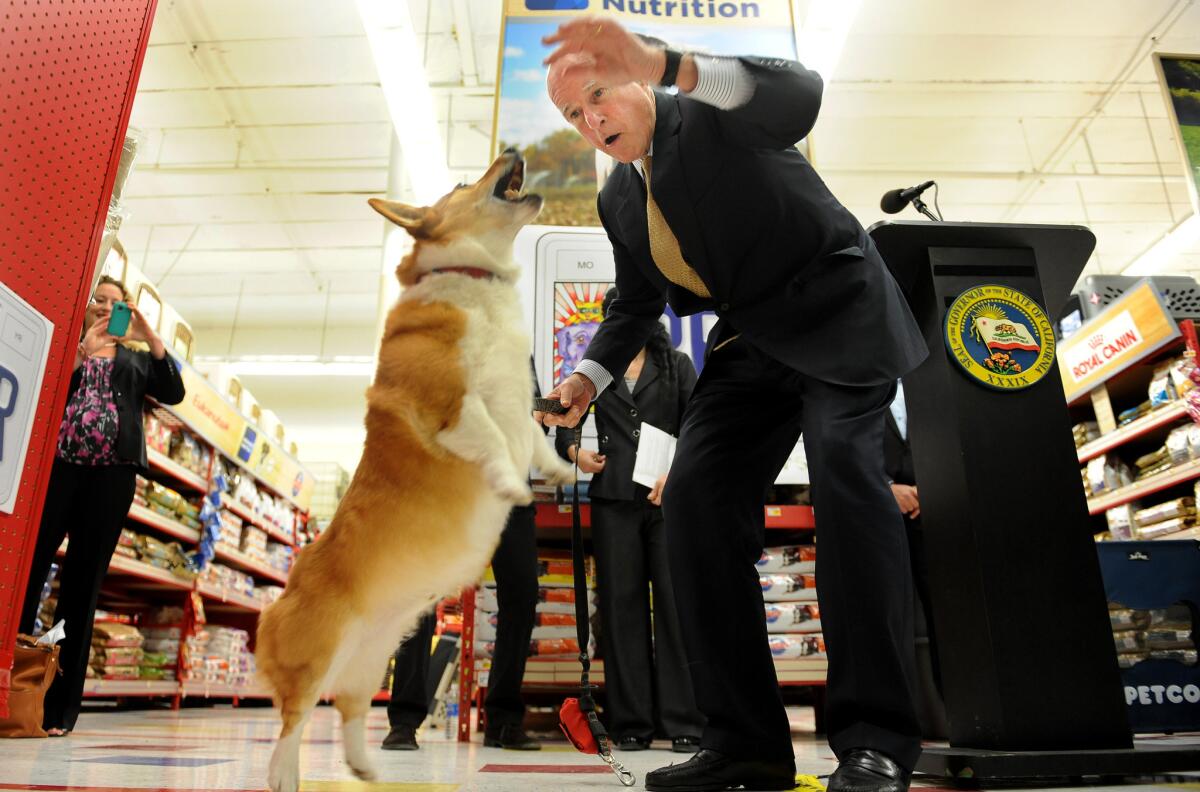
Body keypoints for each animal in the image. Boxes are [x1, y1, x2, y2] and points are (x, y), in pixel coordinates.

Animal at [255, 150, 573, 792]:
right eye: (462, 182)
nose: (513, 151)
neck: (476, 281)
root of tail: (283, 592)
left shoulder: (521, 401)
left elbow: (534, 436)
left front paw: (563, 469)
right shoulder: (455, 405)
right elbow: (493, 439)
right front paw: (510, 484)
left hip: (371, 655)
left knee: (349, 709)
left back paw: (362, 764)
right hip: (321, 650)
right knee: (294, 719)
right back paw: (284, 774)